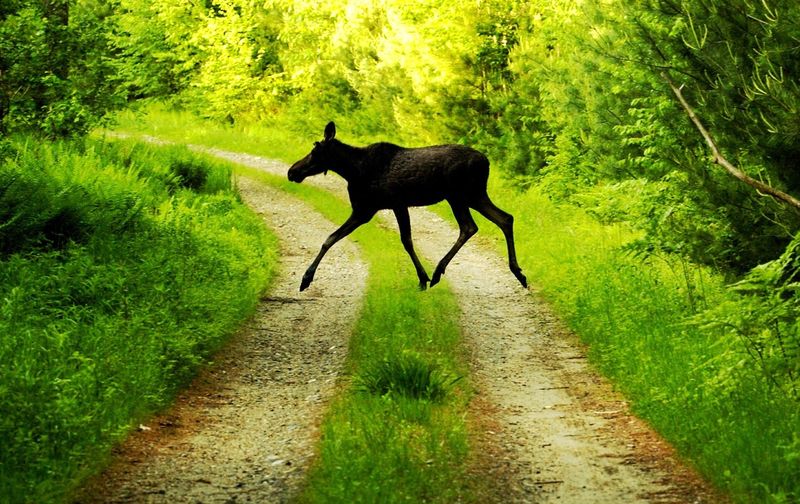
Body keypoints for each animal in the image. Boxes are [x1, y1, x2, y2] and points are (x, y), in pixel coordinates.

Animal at [287, 122, 527, 292]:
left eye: (315, 151)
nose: (292, 171)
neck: (352, 170)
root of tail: (486, 162)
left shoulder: (376, 207)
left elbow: (404, 241)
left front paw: (306, 278)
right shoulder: (377, 208)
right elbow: (333, 238)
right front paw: (423, 277)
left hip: (460, 196)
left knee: (470, 226)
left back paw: (438, 271)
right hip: (472, 196)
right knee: (504, 218)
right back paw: (519, 273)